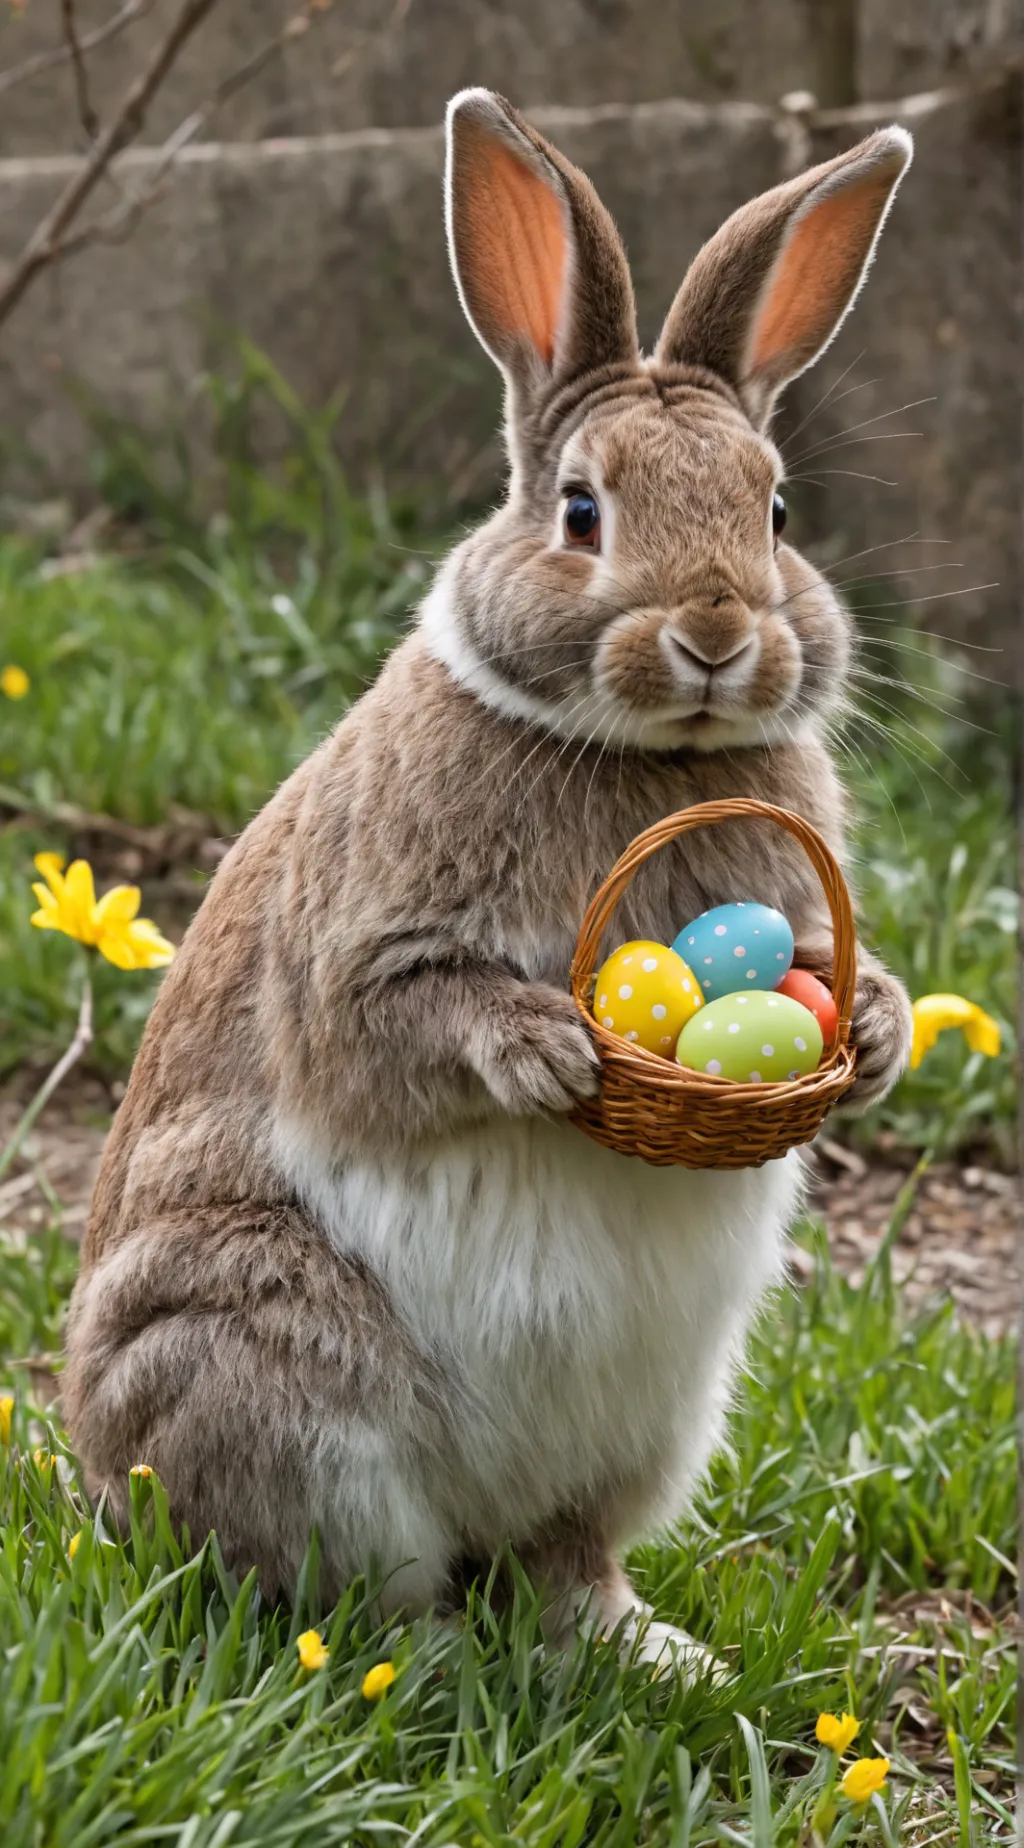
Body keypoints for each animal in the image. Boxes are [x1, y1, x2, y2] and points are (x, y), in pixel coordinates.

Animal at [63, 91, 914, 1674]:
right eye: (582, 512)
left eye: (774, 513)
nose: (716, 632)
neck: (652, 752)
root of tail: (98, 1472)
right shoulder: (360, 954)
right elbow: (397, 1021)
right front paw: (550, 1049)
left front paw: (881, 1029)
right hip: (271, 1376)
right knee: (354, 1588)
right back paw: (429, 1661)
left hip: (650, 1425)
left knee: (560, 1558)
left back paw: (645, 1651)